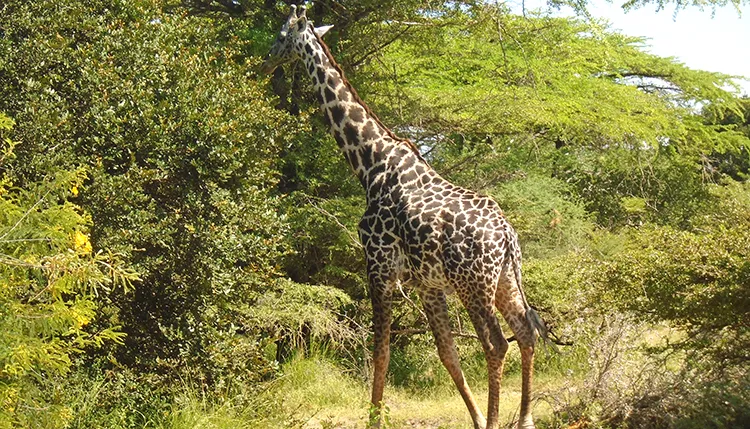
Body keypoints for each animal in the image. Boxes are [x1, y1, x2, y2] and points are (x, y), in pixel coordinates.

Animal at [261, 5, 549, 429]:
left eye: (282, 36)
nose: (266, 60)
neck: (370, 164)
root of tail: (507, 237)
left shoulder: (379, 264)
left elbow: (380, 350)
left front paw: (374, 420)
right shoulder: (426, 284)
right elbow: (448, 355)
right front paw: (476, 417)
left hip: (473, 285)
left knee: (496, 343)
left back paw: (499, 420)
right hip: (504, 280)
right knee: (526, 332)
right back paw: (524, 417)